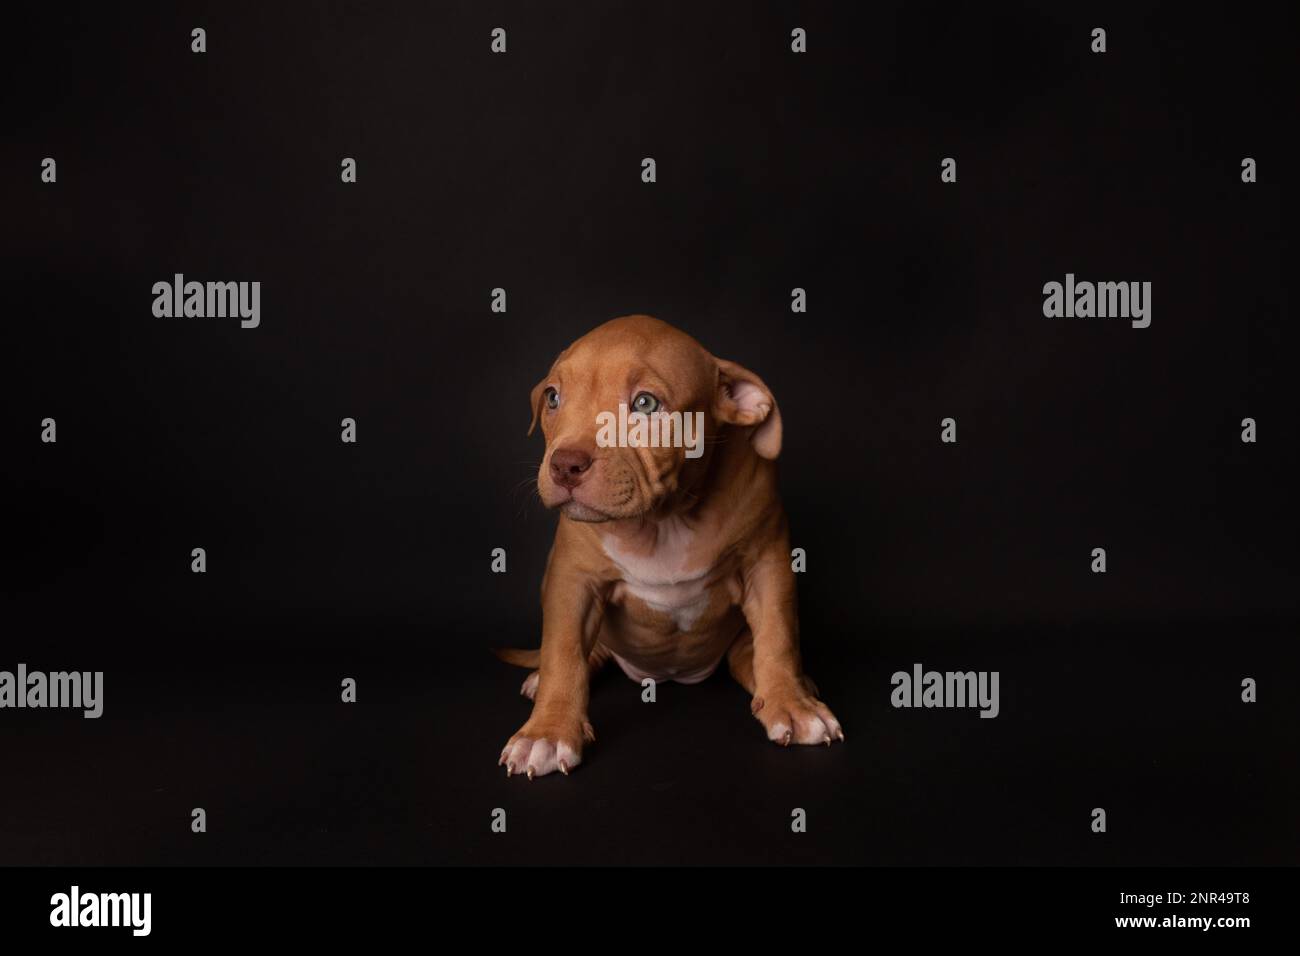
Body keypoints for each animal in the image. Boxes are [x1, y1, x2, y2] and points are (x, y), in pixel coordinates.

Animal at [496, 314, 842, 780]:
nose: (564, 464)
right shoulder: (571, 580)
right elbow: (563, 653)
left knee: (750, 655)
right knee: (586, 653)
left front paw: (793, 705)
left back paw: (788, 687)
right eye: (553, 397)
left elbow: (779, 637)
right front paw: (547, 733)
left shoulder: (768, 565)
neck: (664, 522)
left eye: (645, 404)